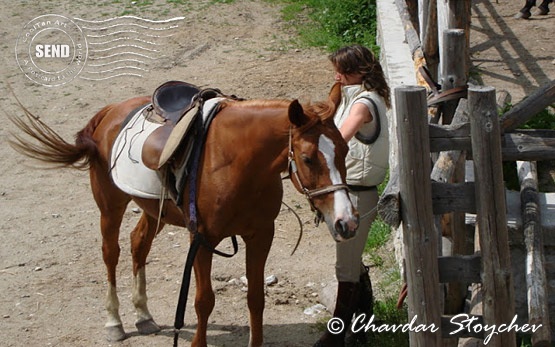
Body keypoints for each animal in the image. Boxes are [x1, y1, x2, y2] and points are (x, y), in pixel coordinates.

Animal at [9, 85, 360, 347]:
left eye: (345, 150)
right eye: (308, 158)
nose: (347, 221)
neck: (238, 162)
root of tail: (108, 113)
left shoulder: (261, 235)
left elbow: (256, 298)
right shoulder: (202, 239)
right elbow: (204, 300)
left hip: (154, 210)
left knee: (138, 244)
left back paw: (143, 316)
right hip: (110, 206)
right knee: (111, 253)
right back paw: (115, 322)